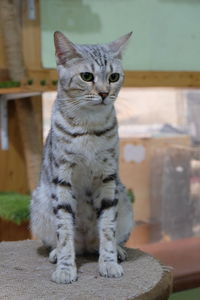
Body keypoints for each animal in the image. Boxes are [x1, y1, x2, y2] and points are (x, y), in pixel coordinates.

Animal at [30, 30, 134, 284]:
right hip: (40, 205)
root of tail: (86, 245)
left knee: (107, 238)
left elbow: (107, 228)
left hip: (124, 201)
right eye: (87, 76)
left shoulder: (108, 178)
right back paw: (57, 254)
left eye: (114, 76)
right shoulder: (63, 177)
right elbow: (65, 231)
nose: (104, 93)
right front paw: (66, 268)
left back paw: (117, 251)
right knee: (61, 241)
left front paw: (109, 263)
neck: (89, 127)